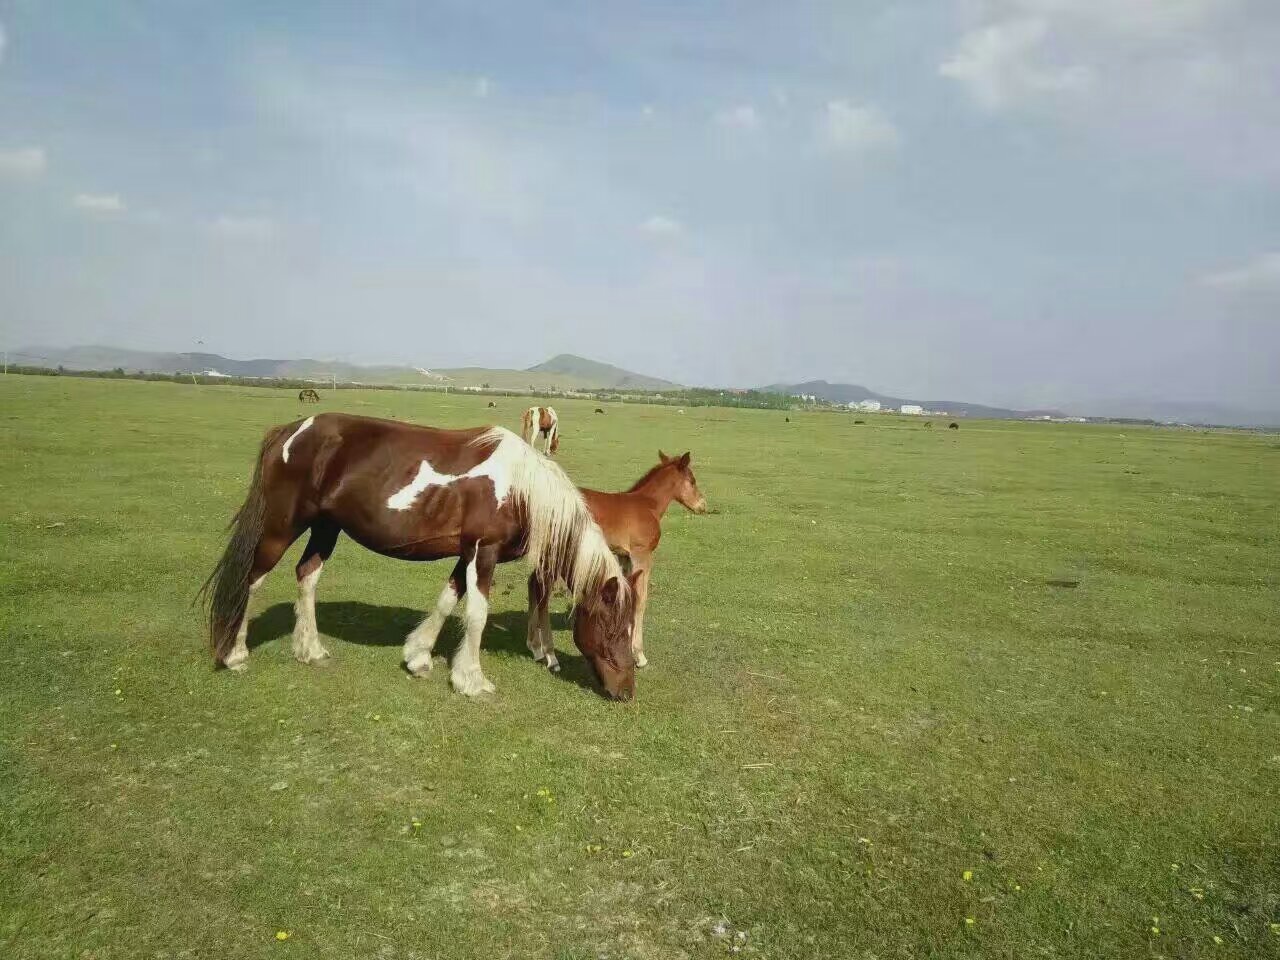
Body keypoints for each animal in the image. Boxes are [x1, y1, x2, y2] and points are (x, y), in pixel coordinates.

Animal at [200, 414, 640, 701]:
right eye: (614, 629)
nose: (626, 692)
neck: (519, 486)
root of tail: (289, 431)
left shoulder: (467, 552)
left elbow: (448, 600)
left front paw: (418, 656)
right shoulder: (484, 551)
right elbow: (476, 613)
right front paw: (471, 680)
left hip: (326, 528)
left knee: (307, 575)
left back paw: (310, 650)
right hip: (281, 526)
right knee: (252, 579)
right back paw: (235, 654)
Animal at [529, 450, 711, 670]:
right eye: (692, 481)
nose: (702, 506)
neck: (648, 505)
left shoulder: (624, 557)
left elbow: (628, 594)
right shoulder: (642, 555)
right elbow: (641, 600)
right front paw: (639, 655)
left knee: (532, 585)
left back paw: (535, 648)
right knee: (542, 594)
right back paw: (550, 656)